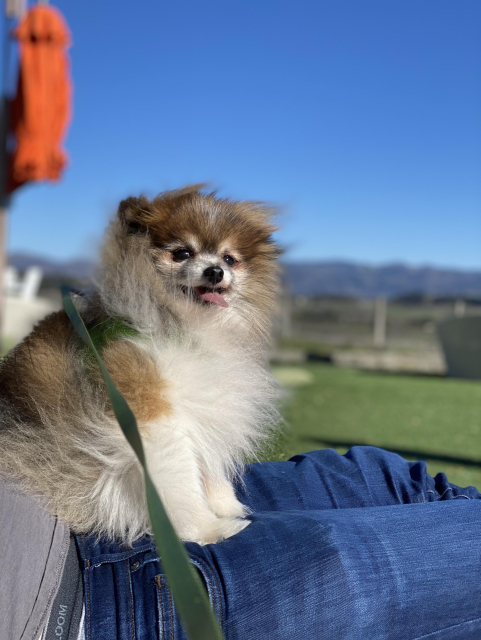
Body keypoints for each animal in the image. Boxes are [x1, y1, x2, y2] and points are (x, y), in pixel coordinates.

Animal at [0, 186, 280, 544]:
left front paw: (225, 505)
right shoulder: (150, 414)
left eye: (229, 258)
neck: (183, 327)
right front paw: (208, 528)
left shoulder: (205, 406)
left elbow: (210, 464)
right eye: (182, 253)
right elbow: (179, 477)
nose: (215, 271)